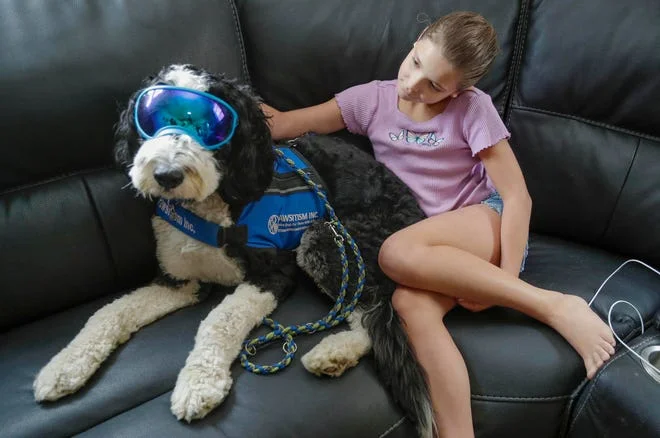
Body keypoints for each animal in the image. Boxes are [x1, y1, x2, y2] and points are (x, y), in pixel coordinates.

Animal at [32, 63, 434, 436]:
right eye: (152, 118)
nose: (166, 176)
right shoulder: (179, 280)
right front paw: (64, 366)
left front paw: (198, 383)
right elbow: (110, 312)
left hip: (324, 238)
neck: (211, 206)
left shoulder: (272, 274)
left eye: (213, 128)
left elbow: (219, 319)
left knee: (373, 309)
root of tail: (418, 215)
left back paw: (334, 352)